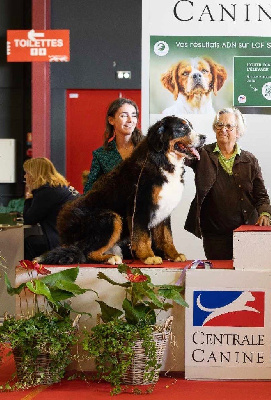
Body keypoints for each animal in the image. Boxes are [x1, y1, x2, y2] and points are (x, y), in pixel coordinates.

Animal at [41, 115, 205, 266]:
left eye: (190, 126)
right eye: (182, 128)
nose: (204, 137)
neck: (161, 160)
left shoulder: (164, 208)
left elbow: (167, 236)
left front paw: (175, 255)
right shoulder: (140, 205)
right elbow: (143, 235)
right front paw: (148, 256)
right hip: (110, 217)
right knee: (85, 252)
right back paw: (110, 258)